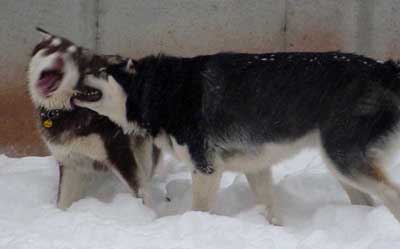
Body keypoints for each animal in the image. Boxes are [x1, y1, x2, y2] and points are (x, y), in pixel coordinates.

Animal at [27, 28, 159, 208]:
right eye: (51, 49)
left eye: (74, 58)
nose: (60, 59)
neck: (69, 109)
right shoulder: (70, 162)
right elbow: (63, 201)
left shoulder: (119, 153)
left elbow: (140, 191)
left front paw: (145, 212)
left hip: (143, 150)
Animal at [73, 50, 400, 224]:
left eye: (100, 71)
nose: (75, 69)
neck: (160, 89)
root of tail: (383, 69)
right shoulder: (255, 167)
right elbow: (269, 210)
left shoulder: (205, 168)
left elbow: (199, 209)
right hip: (341, 168)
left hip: (344, 161)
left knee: (392, 194)